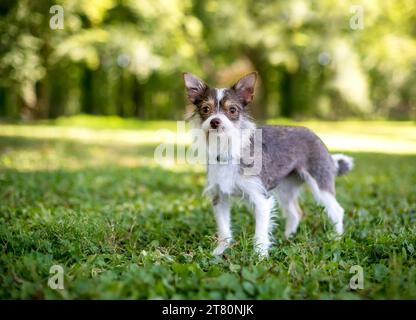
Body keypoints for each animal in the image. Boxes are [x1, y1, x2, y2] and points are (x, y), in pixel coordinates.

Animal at [184, 71, 352, 256]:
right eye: (206, 109)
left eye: (232, 110)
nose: (215, 121)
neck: (228, 149)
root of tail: (318, 139)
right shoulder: (220, 198)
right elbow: (224, 230)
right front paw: (220, 250)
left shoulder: (261, 199)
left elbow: (260, 233)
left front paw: (260, 256)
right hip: (286, 189)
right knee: (295, 213)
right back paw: (288, 238)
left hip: (320, 184)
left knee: (337, 211)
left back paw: (336, 240)